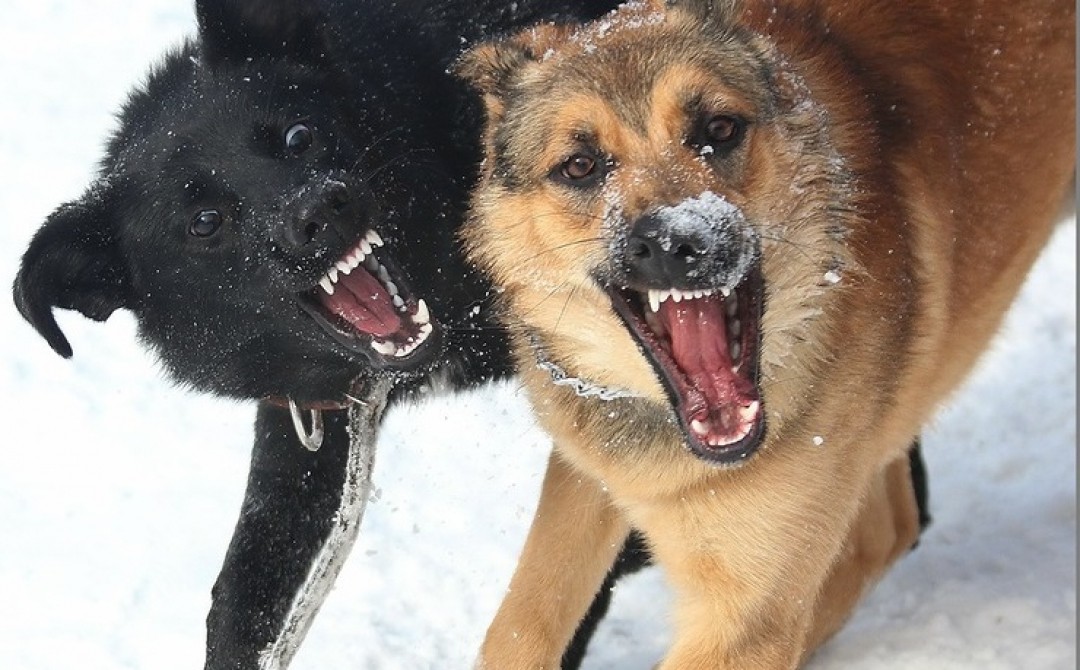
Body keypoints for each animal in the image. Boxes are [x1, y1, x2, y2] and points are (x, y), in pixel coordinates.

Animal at [460, 1, 1075, 665]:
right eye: (580, 166)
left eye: (720, 128)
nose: (678, 241)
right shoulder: (588, 469)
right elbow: (520, 623)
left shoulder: (745, 609)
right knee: (891, 526)